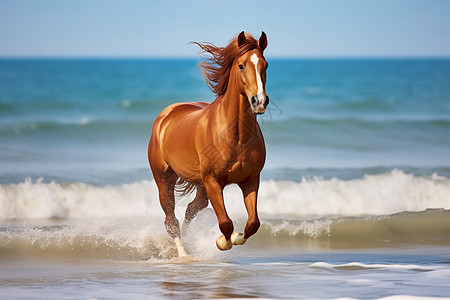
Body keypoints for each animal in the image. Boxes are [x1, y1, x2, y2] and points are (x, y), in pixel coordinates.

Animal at [148, 30, 268, 256]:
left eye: (265, 65)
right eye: (241, 65)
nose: (259, 101)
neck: (237, 137)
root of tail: (165, 115)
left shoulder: (250, 179)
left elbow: (253, 223)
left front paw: (236, 238)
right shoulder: (213, 181)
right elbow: (225, 223)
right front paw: (223, 241)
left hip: (201, 186)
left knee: (190, 210)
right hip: (164, 180)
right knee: (171, 220)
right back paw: (183, 254)